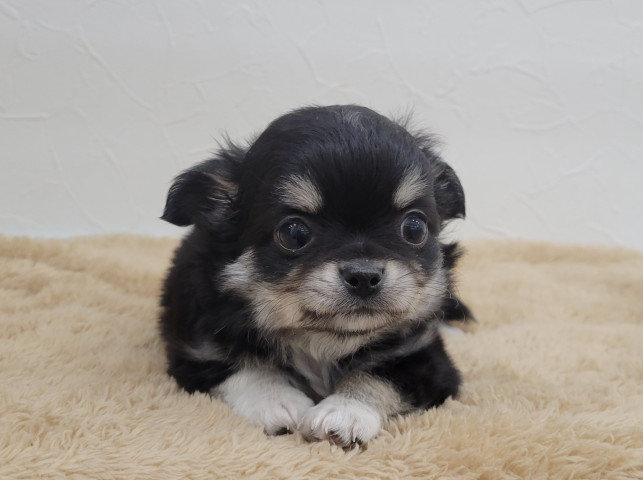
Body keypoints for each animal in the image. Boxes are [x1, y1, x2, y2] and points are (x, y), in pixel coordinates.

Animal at [159, 104, 473, 447]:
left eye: (414, 228)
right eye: (294, 233)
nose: (364, 276)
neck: (321, 339)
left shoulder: (424, 360)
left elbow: (380, 376)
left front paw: (344, 412)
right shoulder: (196, 351)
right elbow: (242, 368)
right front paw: (278, 402)